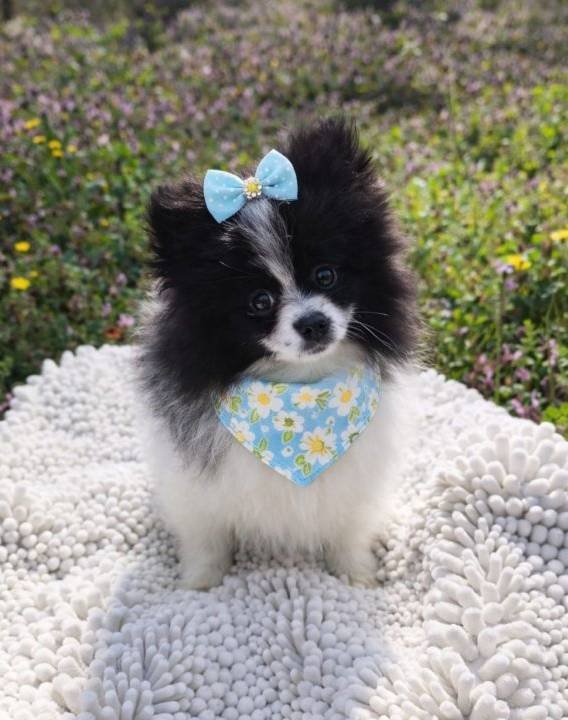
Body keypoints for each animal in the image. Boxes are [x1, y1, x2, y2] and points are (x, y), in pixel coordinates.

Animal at [137, 118, 419, 589]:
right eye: (260, 301)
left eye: (326, 275)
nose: (313, 322)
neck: (299, 391)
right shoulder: (197, 491)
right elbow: (206, 538)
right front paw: (200, 584)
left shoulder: (354, 486)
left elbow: (348, 531)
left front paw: (356, 576)